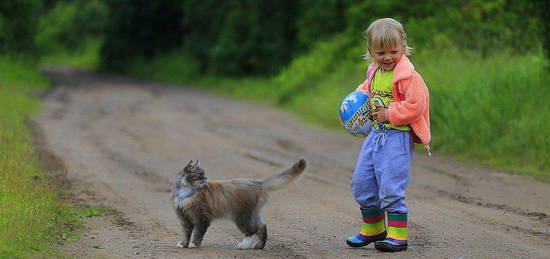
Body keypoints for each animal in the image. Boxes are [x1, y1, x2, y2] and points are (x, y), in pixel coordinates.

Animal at [172, 158, 308, 250]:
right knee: (262, 227)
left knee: (252, 231)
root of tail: (257, 182)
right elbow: (186, 233)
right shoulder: (184, 217)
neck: (185, 191)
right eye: (200, 174)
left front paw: (194, 244)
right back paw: (258, 246)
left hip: (241, 217)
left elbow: (197, 233)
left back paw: (243, 245)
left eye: (204, 174)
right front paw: (183, 244)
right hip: (252, 215)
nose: (206, 178)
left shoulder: (201, 217)